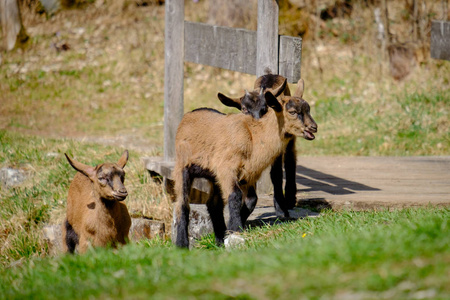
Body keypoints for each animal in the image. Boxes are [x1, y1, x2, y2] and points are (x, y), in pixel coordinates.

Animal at [172, 78, 316, 247]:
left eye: (308, 109)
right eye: (292, 112)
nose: (313, 127)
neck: (254, 138)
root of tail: (190, 114)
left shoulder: (249, 175)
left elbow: (251, 200)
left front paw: (232, 229)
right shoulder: (227, 169)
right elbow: (235, 196)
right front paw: (236, 229)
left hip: (213, 177)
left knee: (213, 204)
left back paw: (219, 240)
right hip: (182, 167)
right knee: (182, 204)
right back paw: (182, 245)